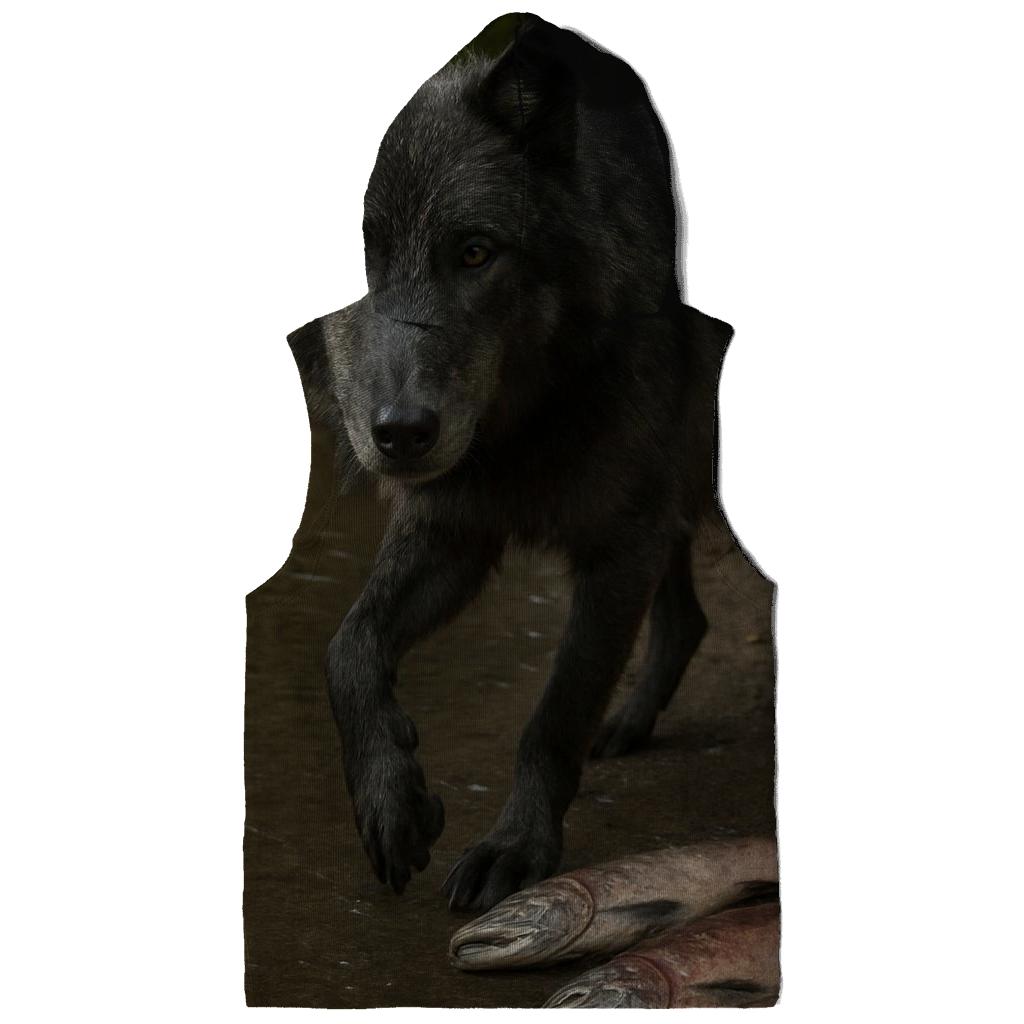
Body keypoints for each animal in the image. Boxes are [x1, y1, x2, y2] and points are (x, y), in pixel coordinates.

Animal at [289, 13, 735, 912]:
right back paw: (630, 721)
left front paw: (517, 847)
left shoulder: (617, 545)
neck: (527, 420)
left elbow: (553, 717)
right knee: (685, 615)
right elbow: (346, 648)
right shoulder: (455, 524)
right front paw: (392, 806)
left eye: (473, 253)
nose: (401, 433)